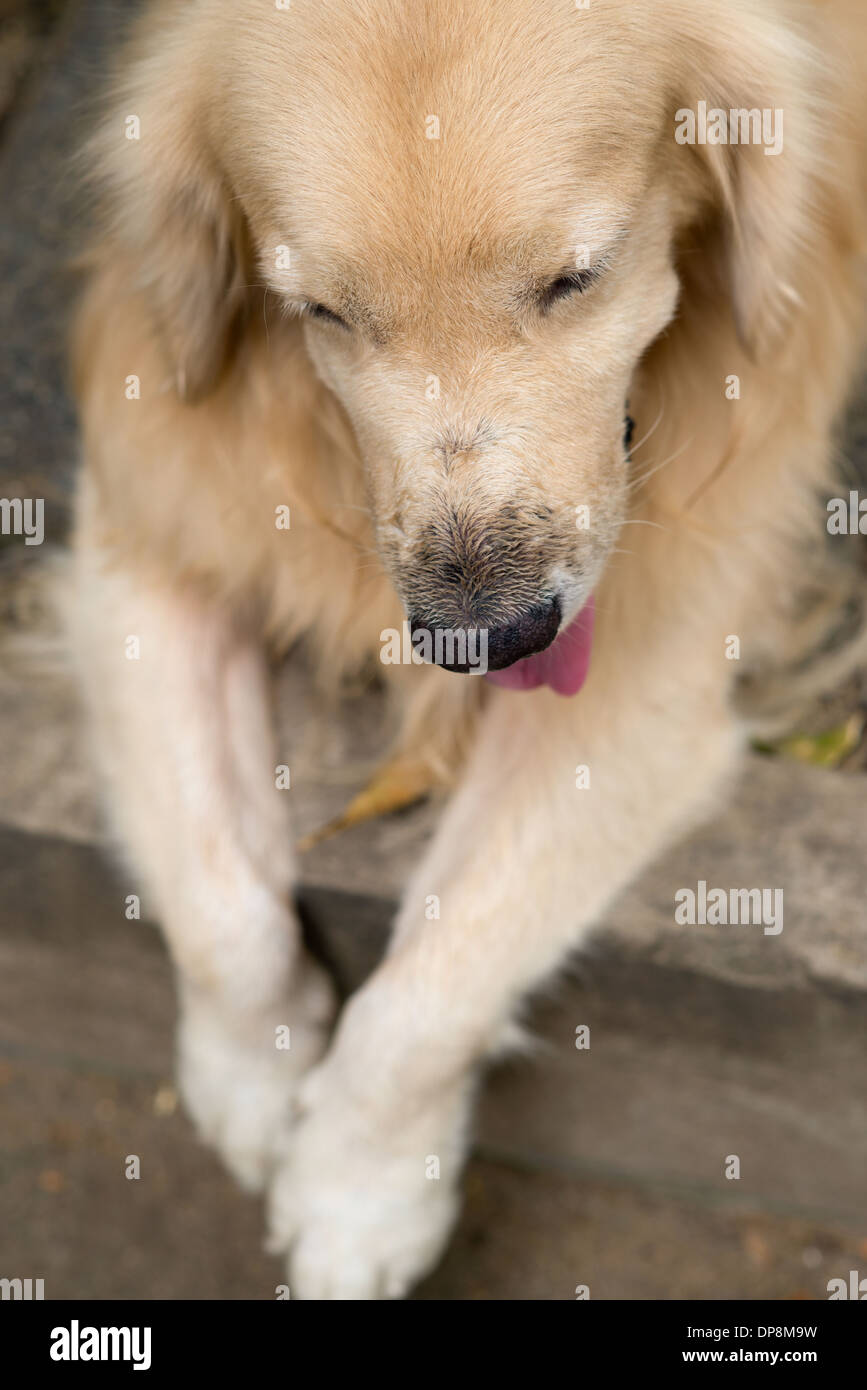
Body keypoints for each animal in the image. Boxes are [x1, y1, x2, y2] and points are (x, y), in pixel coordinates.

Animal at [69, 0, 867, 1295]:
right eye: (323, 312)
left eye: (575, 279)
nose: (482, 637)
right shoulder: (144, 533)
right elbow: (215, 900)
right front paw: (254, 1074)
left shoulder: (642, 677)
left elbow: (435, 985)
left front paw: (358, 1192)